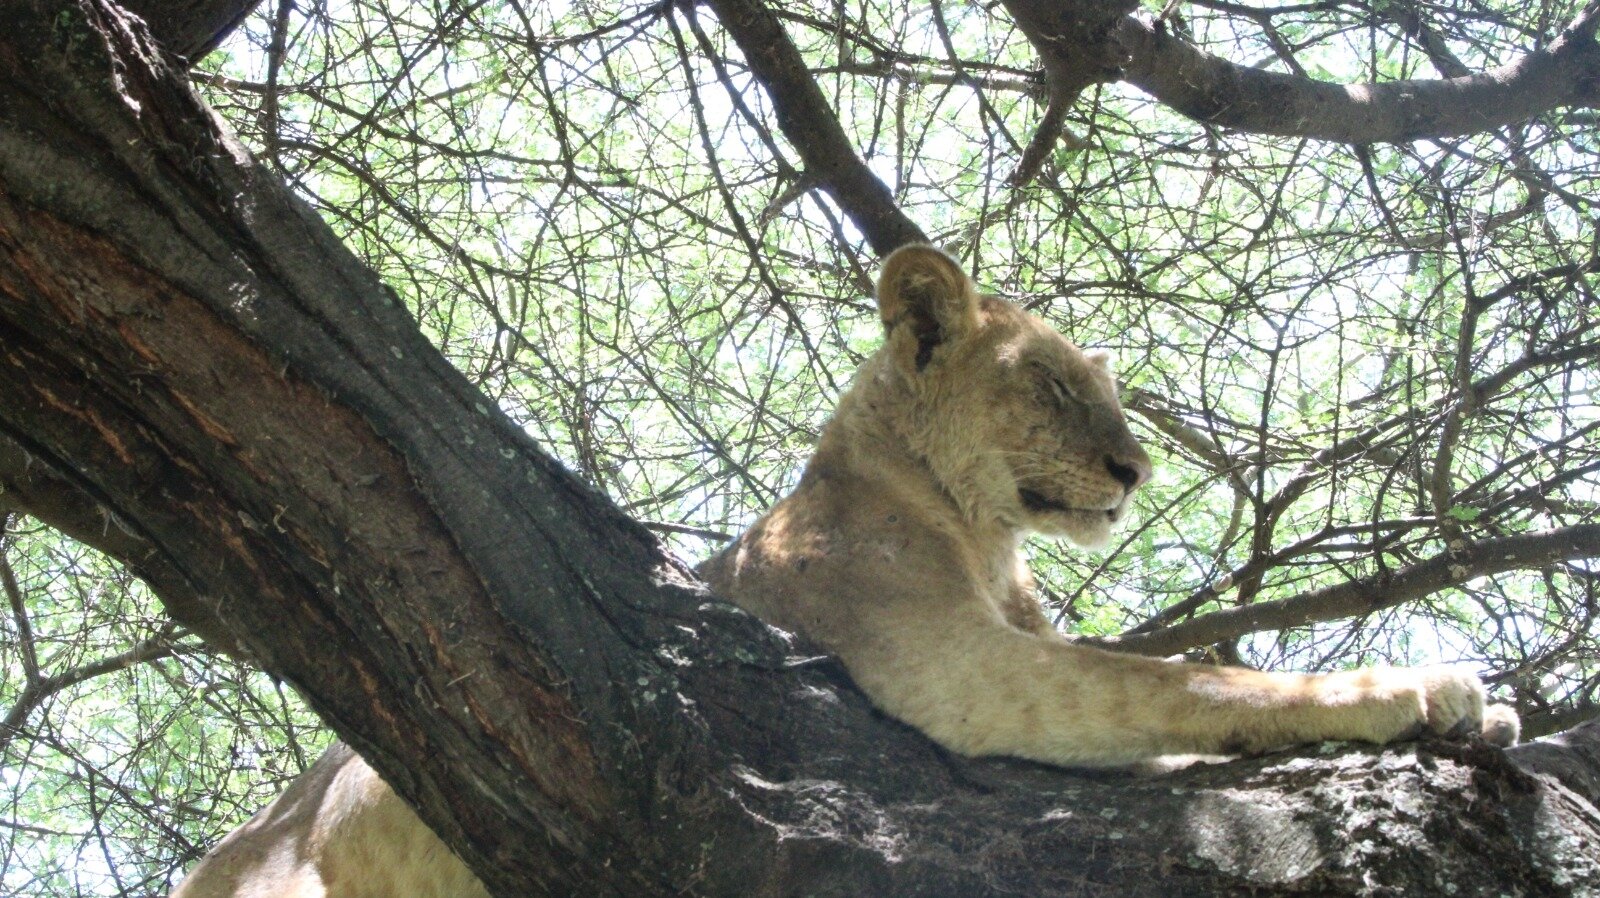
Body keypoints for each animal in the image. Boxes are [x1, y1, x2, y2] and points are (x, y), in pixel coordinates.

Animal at [171, 245, 1517, 896]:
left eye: (1108, 392)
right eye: (1049, 387)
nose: (1135, 471)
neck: (980, 532)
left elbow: (1168, 709)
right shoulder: (953, 664)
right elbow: (1182, 676)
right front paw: (1421, 685)